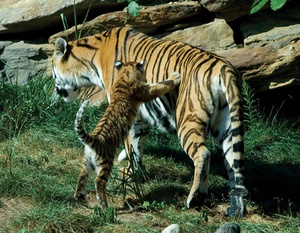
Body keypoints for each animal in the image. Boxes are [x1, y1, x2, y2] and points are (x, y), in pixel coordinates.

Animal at [52, 26, 248, 217]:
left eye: (54, 73)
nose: (55, 91)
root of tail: (225, 68)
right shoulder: (140, 117)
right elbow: (136, 146)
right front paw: (135, 173)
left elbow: (131, 146)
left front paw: (128, 174)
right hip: (227, 127)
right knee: (234, 165)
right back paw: (236, 208)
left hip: (188, 120)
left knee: (203, 154)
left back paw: (195, 198)